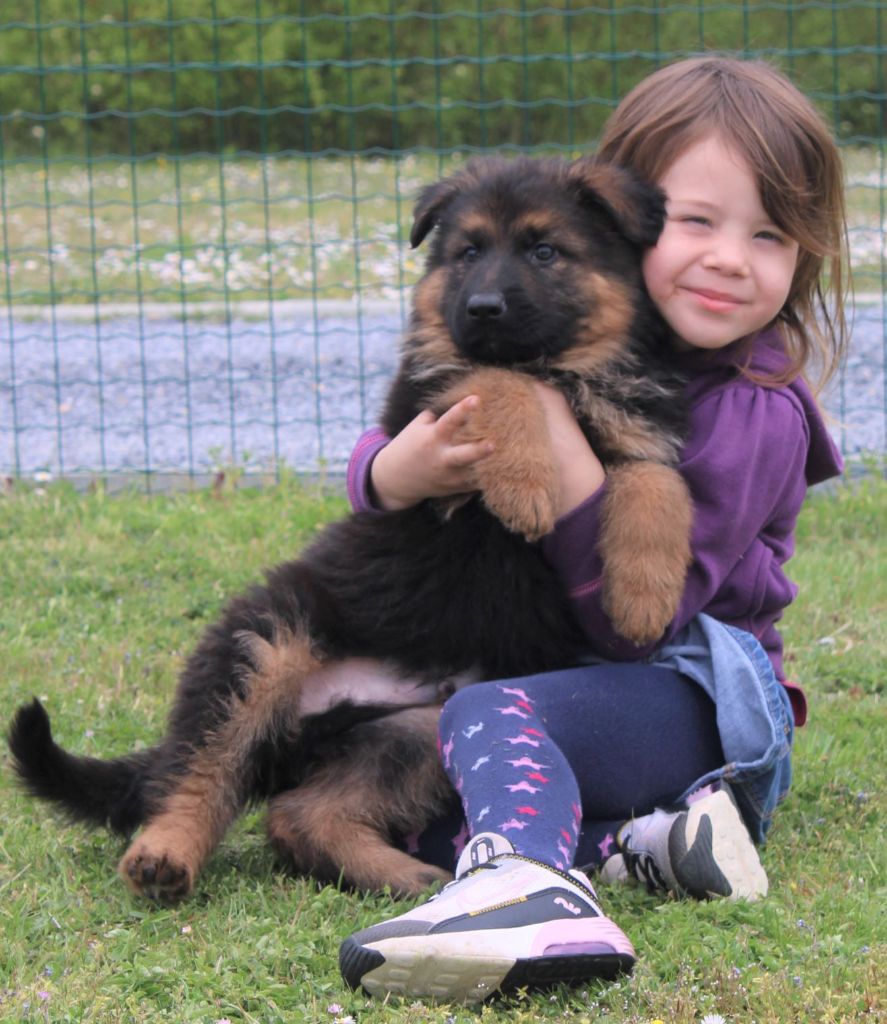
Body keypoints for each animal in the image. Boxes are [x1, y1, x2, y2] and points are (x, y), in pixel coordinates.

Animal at [8, 155, 693, 903]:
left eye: (545, 251)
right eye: (468, 252)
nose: (482, 309)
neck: (563, 370)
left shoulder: (635, 433)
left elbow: (659, 484)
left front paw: (645, 596)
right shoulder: (428, 406)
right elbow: (495, 380)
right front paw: (526, 483)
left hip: (419, 726)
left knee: (298, 814)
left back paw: (402, 875)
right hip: (262, 647)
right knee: (197, 773)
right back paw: (164, 855)